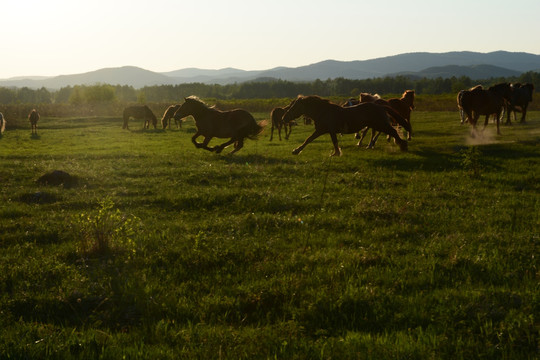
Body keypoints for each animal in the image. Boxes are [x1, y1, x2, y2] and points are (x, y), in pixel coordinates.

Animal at [280, 94, 408, 156]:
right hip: (378, 125)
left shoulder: (322, 130)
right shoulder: (329, 131)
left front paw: (296, 151)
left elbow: (308, 139)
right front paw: (336, 153)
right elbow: (334, 142)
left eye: (294, 107)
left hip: (381, 124)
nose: (284, 118)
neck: (323, 111)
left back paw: (403, 146)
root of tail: (381, 107)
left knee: (393, 132)